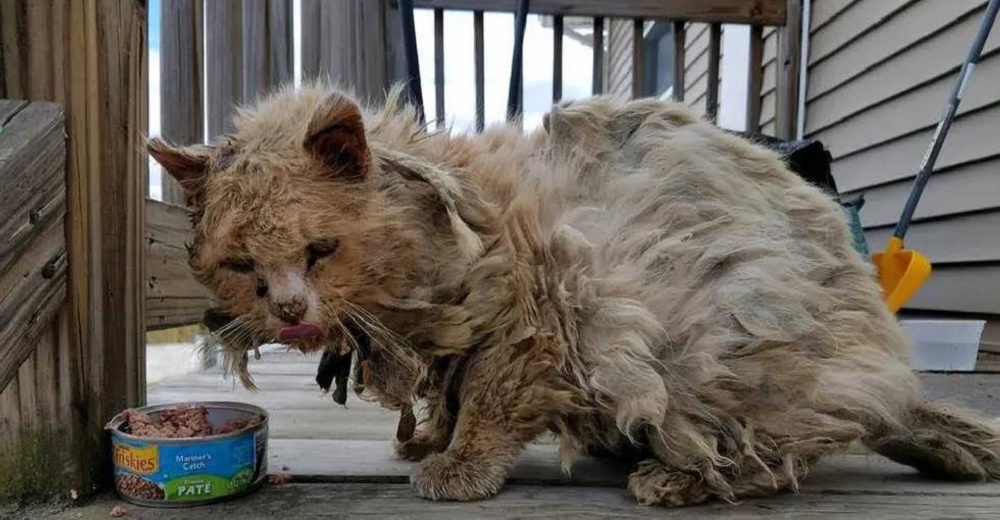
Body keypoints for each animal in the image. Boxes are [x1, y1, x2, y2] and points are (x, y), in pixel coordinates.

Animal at [146, 82, 1000, 508]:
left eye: (320, 251)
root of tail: (892, 383)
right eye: (240, 265)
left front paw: (457, 469)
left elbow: (486, 406)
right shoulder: (463, 341)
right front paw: (427, 441)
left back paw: (673, 478)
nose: (289, 311)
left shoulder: (538, 323)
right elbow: (447, 395)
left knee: (780, 454)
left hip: (721, 349)